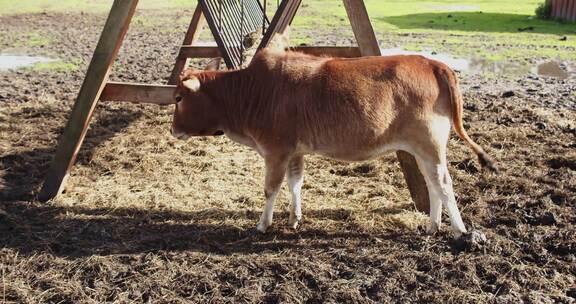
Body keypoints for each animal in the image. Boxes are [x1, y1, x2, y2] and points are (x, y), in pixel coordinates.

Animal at [170, 48, 496, 238]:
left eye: (179, 97)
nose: (173, 130)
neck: (254, 91)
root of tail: (431, 63)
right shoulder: (295, 151)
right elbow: (295, 183)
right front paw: (294, 219)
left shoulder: (275, 151)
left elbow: (270, 189)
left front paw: (263, 224)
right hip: (422, 149)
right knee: (432, 184)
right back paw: (432, 226)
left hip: (429, 144)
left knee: (443, 184)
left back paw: (459, 230)